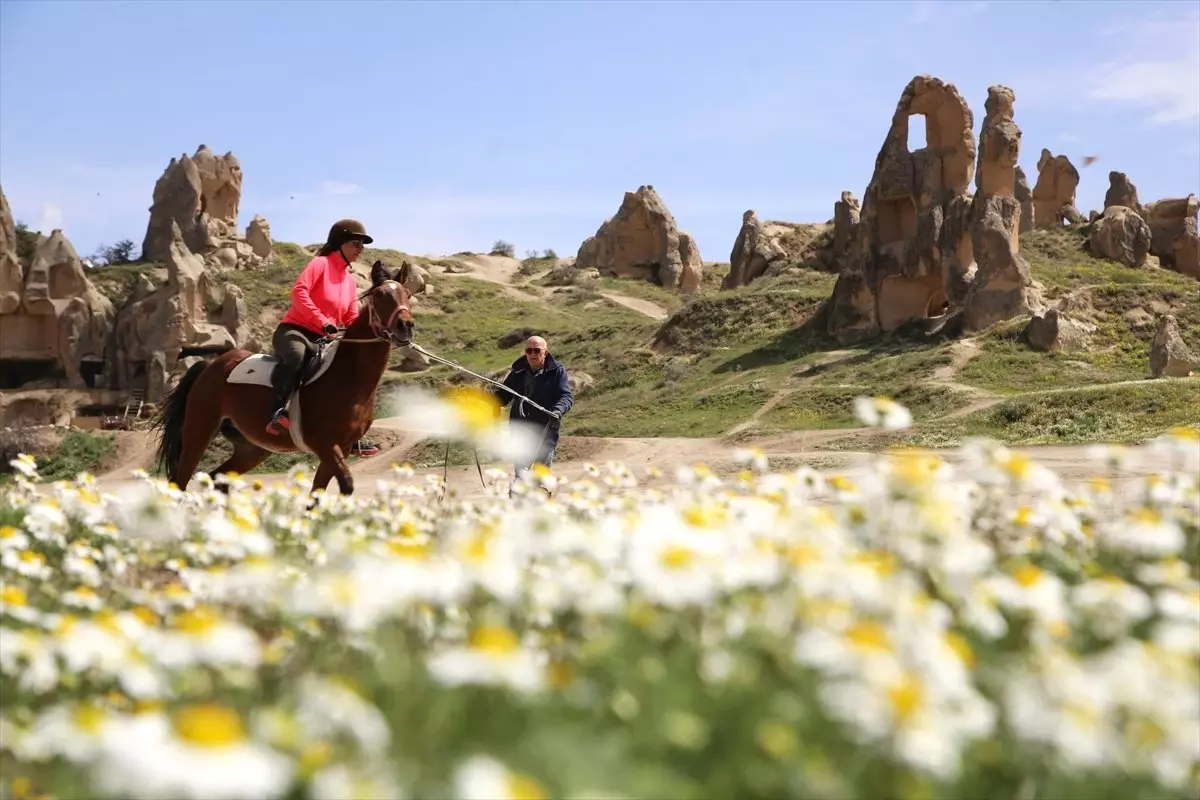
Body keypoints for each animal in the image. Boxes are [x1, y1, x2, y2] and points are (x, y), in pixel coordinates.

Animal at [150, 260, 417, 496]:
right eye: (380, 295)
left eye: (406, 293)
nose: (405, 326)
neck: (349, 378)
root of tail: (213, 364)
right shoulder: (326, 445)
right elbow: (346, 485)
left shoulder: (341, 447)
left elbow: (318, 494)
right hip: (199, 432)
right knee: (180, 482)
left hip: (252, 448)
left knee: (218, 478)